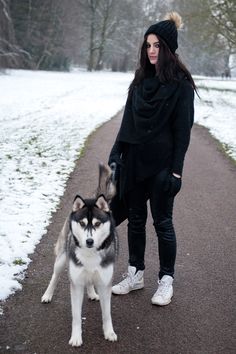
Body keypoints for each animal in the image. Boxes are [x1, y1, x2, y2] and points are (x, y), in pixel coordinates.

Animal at [41, 163, 118, 346]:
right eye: (82, 223)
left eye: (97, 224)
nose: (89, 241)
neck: (90, 254)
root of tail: (92, 197)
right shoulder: (75, 284)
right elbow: (76, 316)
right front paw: (76, 337)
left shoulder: (105, 283)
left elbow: (107, 314)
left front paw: (109, 332)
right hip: (62, 259)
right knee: (54, 276)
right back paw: (47, 294)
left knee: (89, 280)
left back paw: (91, 293)